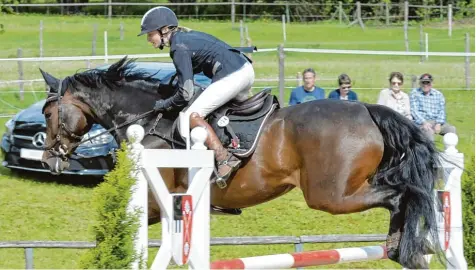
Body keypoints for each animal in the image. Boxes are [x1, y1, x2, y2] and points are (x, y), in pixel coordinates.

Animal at [39, 56, 444, 268]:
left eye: (47, 112)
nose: (48, 159)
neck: (148, 120)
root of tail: (366, 109)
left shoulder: (158, 200)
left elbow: (109, 229)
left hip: (331, 195)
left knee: (401, 194)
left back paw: (405, 248)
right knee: (407, 195)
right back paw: (405, 250)